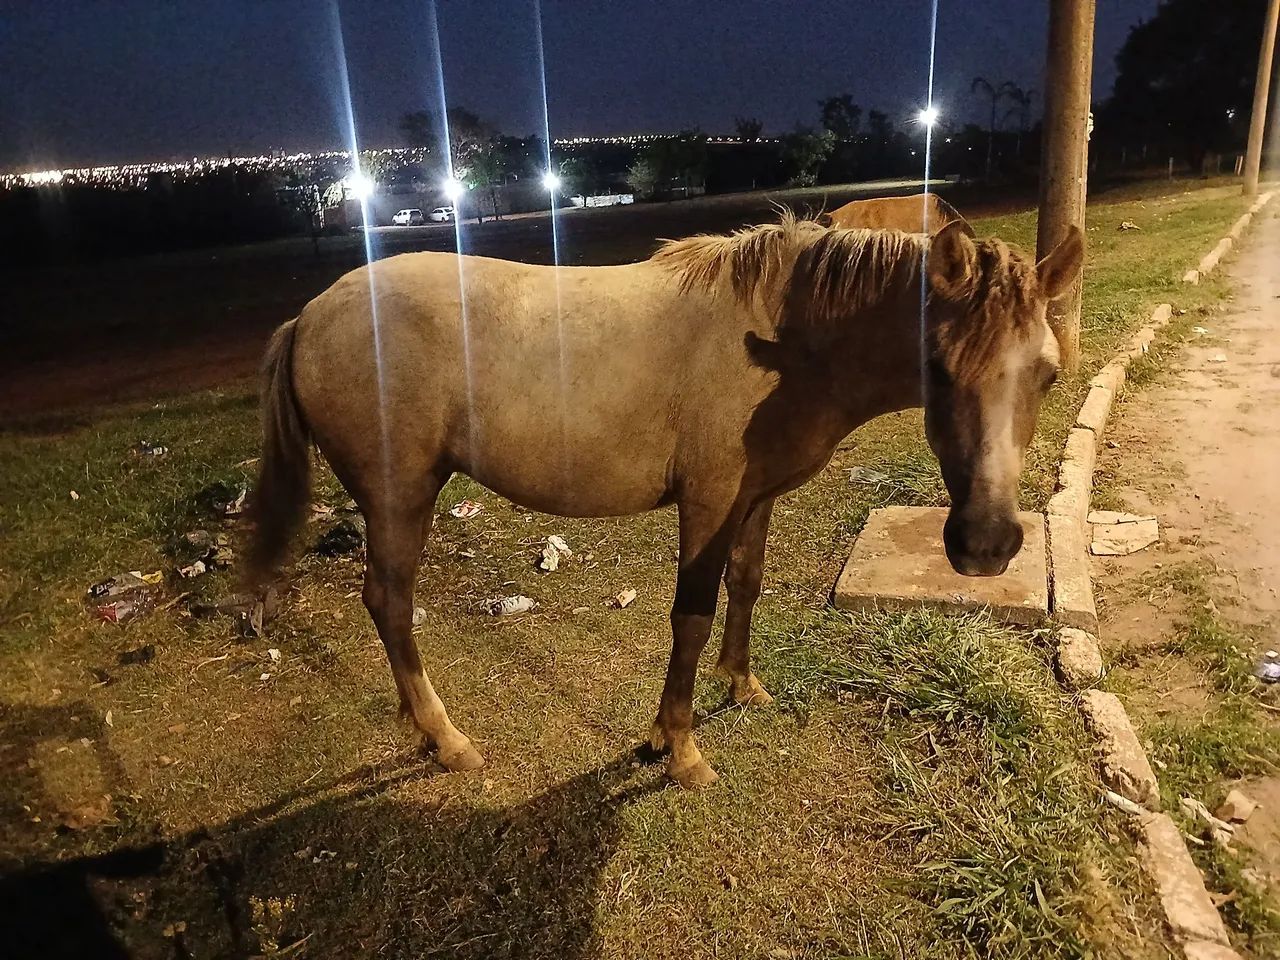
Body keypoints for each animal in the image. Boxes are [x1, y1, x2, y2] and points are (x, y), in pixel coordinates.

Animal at [246, 213, 1082, 788]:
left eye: (1046, 372)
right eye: (938, 367)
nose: (986, 543)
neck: (785, 343)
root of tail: (309, 316)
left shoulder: (755, 498)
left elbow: (746, 585)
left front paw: (740, 685)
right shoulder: (708, 502)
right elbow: (692, 615)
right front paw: (676, 747)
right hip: (399, 497)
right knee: (389, 603)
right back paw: (446, 738)